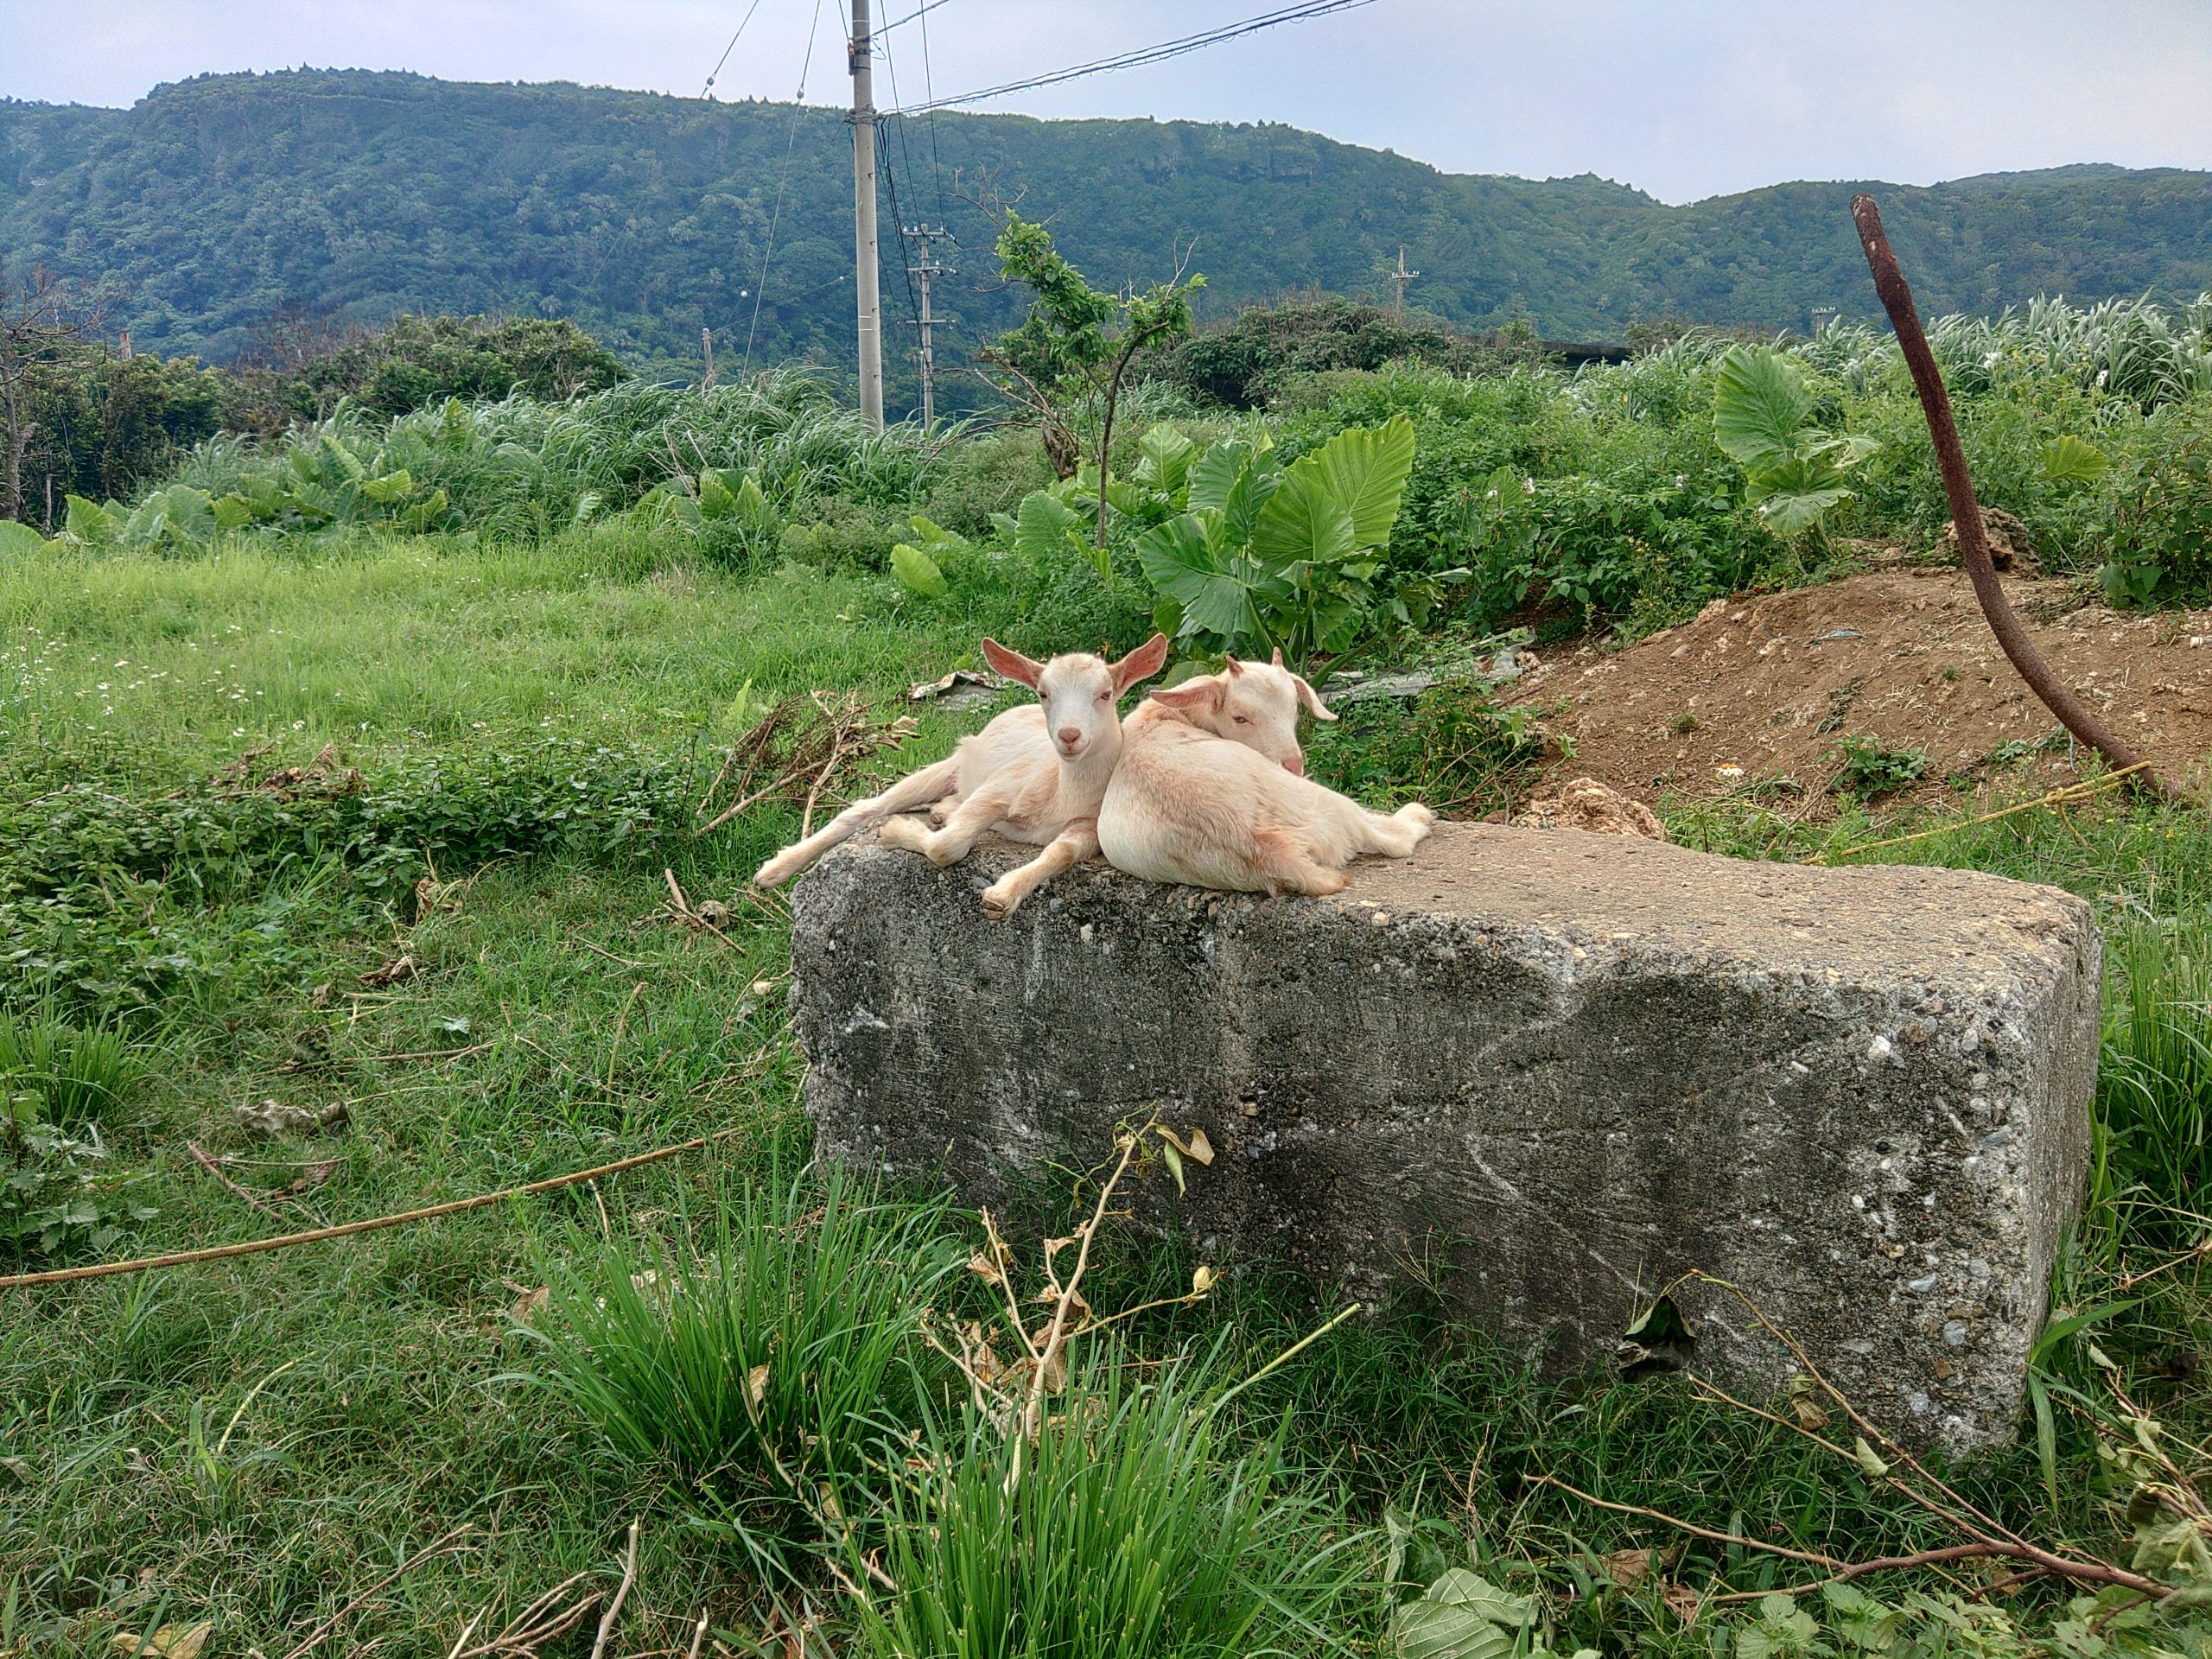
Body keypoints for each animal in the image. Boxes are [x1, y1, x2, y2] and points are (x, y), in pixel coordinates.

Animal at [1099, 653, 1435, 896]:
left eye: (1295, 708)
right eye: (1240, 718)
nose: (1294, 765)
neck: (1170, 715)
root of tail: (1264, 847)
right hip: (1323, 803)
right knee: (1391, 839)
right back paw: (1416, 815)